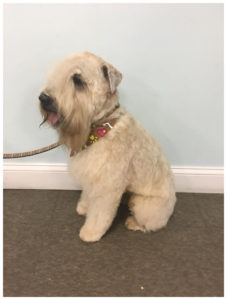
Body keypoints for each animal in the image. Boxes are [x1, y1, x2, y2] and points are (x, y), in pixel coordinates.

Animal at [39, 51, 176, 243]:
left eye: (77, 80)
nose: (43, 98)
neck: (102, 126)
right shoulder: (92, 175)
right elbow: (88, 194)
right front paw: (84, 207)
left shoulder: (107, 184)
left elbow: (100, 213)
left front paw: (90, 233)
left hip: (144, 205)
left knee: (151, 224)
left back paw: (133, 222)